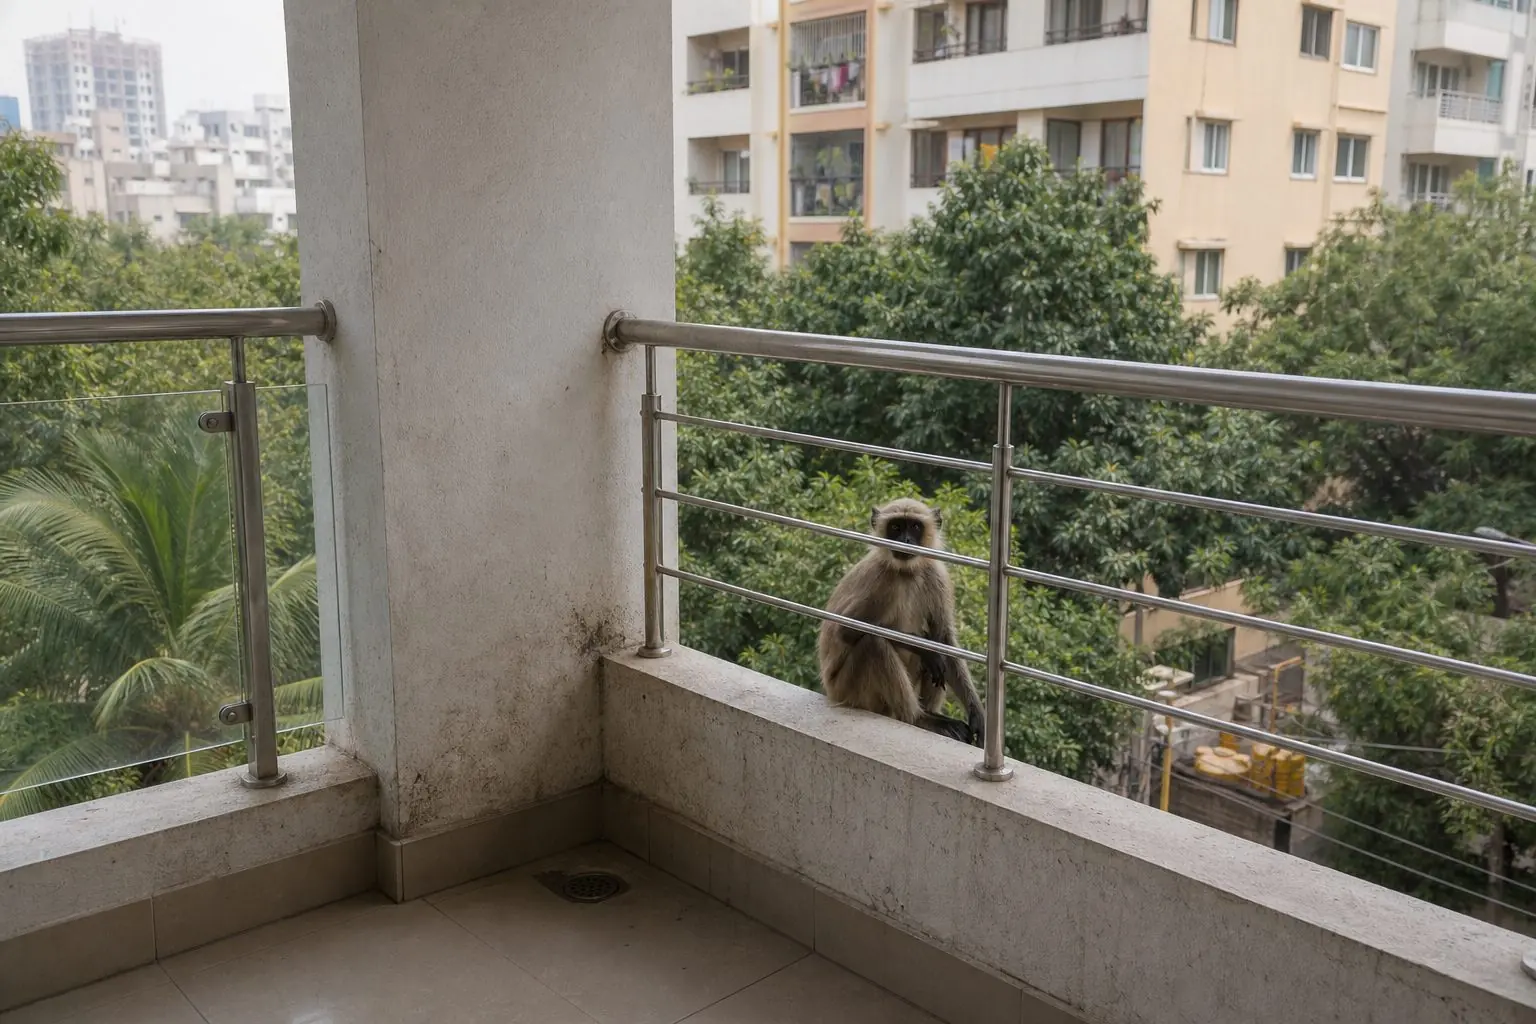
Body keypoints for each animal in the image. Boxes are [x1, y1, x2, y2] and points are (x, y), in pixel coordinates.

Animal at [817, 498, 985, 746]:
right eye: (896, 527)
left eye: (914, 527)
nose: (905, 540)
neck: (907, 573)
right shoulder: (880, 580)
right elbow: (844, 630)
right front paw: (924, 648)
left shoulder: (935, 573)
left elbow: (944, 639)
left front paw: (977, 714)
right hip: (848, 690)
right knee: (874, 644)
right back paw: (918, 718)